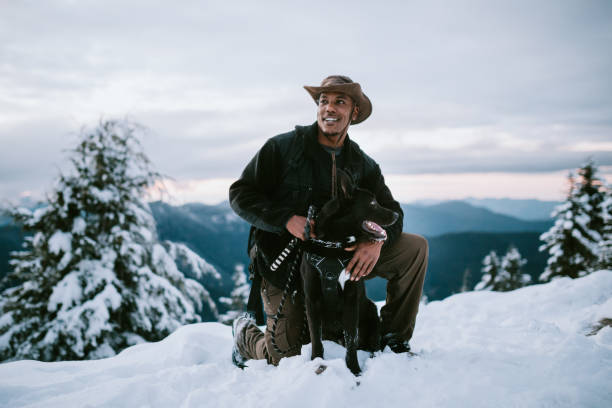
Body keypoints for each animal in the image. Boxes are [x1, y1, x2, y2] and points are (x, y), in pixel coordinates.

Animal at [300, 170, 396, 376]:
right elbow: (316, 338)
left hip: (371, 313)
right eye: (372, 203)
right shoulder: (312, 299)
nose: (395, 215)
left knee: (373, 345)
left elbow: (351, 341)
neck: (333, 245)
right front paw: (316, 360)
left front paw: (354, 370)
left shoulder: (351, 299)